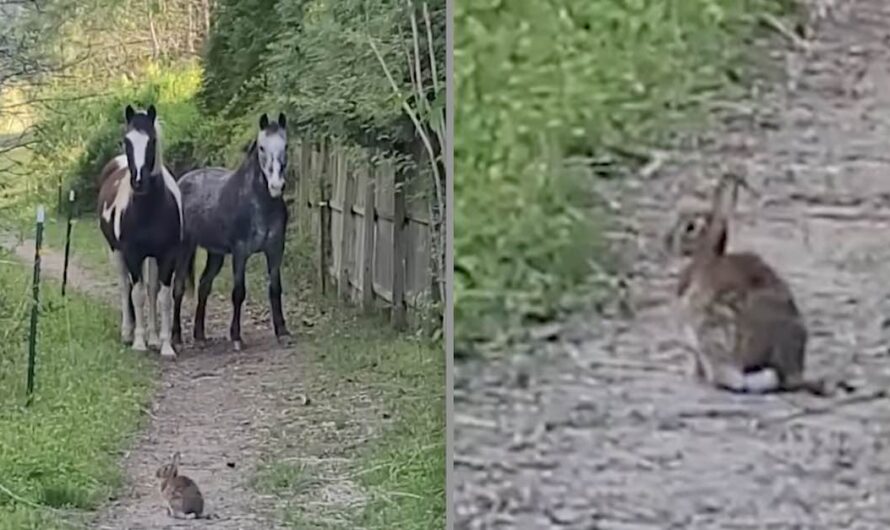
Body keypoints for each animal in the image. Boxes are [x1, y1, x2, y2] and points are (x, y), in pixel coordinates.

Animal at [175, 113, 294, 348]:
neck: (258, 202)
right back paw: (176, 337)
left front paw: (282, 332)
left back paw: (199, 336)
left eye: (285, 145)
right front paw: (236, 336)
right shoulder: (240, 252)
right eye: (262, 148)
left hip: (215, 254)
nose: (276, 186)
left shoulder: (275, 249)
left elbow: (275, 289)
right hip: (184, 248)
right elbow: (238, 292)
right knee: (178, 289)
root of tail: (182, 181)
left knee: (204, 286)